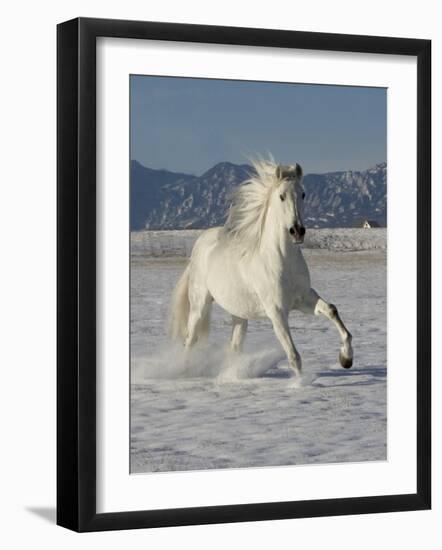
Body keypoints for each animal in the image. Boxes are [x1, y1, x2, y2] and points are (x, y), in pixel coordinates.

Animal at [168, 157, 352, 382]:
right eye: (281, 196)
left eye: (303, 194)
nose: (297, 231)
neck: (283, 260)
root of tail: (200, 244)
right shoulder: (277, 312)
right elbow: (293, 356)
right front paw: (300, 384)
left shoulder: (304, 299)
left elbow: (332, 310)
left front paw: (346, 359)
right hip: (199, 305)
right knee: (190, 339)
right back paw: (185, 372)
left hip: (238, 312)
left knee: (235, 346)